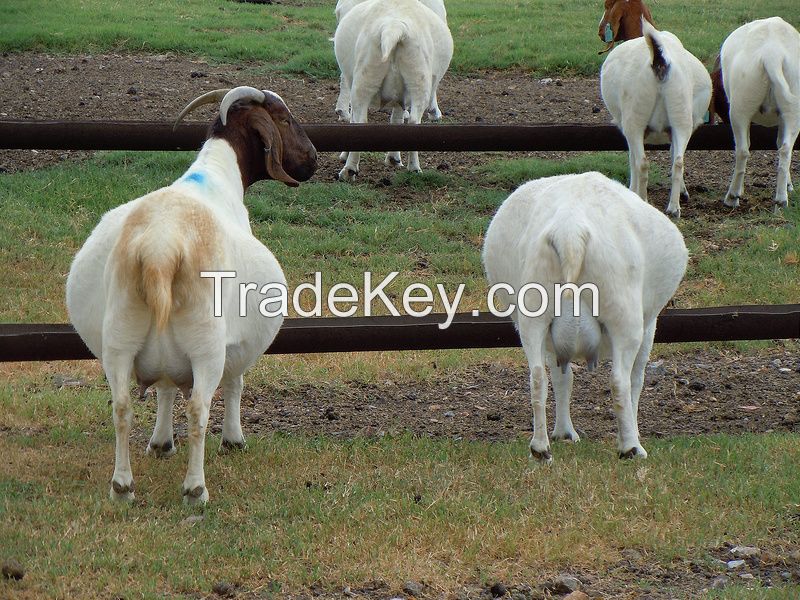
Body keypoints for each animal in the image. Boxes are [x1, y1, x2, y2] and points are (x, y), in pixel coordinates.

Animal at [65, 85, 318, 506]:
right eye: (284, 117)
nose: (313, 159)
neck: (216, 176)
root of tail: (160, 249)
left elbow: (166, 387)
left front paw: (160, 443)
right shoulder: (235, 344)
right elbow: (235, 383)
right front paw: (233, 440)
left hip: (119, 337)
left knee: (121, 406)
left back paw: (122, 486)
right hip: (206, 342)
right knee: (199, 408)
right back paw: (196, 489)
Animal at [482, 171, 688, 462]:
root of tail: (570, 231)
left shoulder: (551, 341)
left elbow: (562, 378)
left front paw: (564, 433)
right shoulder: (650, 325)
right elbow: (637, 379)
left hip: (533, 311)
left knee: (537, 377)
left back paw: (541, 448)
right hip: (624, 315)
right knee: (620, 382)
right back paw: (631, 448)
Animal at [600, 18, 712, 220]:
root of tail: (659, 61)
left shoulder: (628, 127)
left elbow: (632, 158)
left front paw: (632, 189)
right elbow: (673, 154)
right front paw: (683, 192)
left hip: (635, 117)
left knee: (642, 163)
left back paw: (644, 200)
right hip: (681, 115)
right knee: (678, 161)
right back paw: (674, 208)